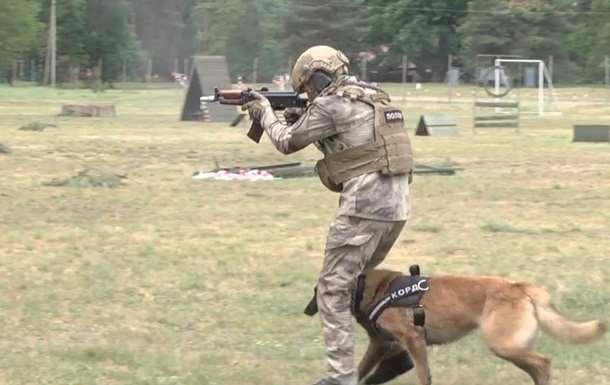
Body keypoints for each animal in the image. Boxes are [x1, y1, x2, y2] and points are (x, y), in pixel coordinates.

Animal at [304, 266, 604, 384]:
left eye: (316, 292)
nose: (307, 311)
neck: (371, 289)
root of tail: (518, 286)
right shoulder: (384, 345)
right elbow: (362, 371)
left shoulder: (412, 340)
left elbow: (423, 375)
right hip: (511, 348)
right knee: (537, 367)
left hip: (503, 345)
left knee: (543, 363)